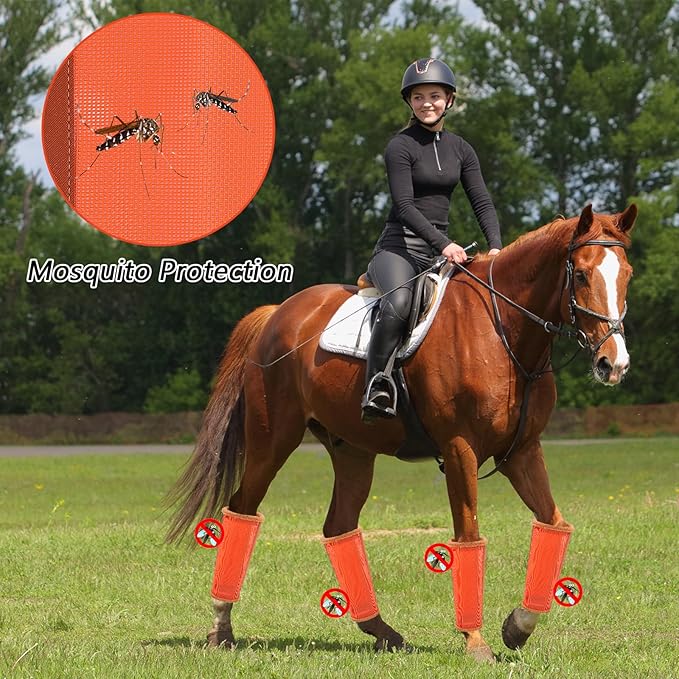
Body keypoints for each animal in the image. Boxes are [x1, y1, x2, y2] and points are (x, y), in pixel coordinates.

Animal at [166, 203, 637, 662]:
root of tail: (276, 315)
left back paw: (382, 632)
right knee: (241, 510)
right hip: (271, 442)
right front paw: (475, 641)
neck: (502, 332)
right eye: (581, 274)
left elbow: (554, 523)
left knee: (338, 527)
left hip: (352, 451)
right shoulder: (460, 450)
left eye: (627, 274)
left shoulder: (522, 451)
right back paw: (221, 628)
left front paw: (517, 627)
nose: (613, 363)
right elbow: (468, 536)